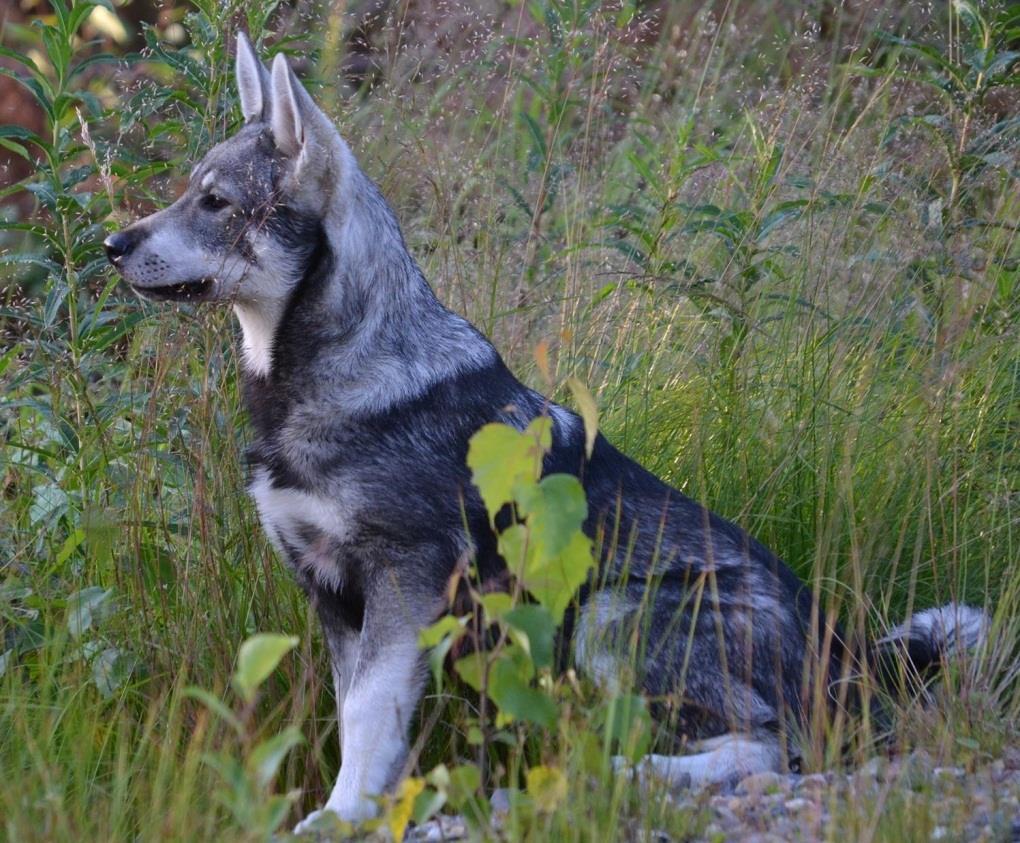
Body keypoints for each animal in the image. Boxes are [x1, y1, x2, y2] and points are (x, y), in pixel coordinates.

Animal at [105, 32, 987, 828]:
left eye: (216, 202)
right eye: (187, 191)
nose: (112, 244)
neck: (335, 370)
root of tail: (851, 658)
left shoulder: (403, 581)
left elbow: (366, 715)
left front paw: (343, 812)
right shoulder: (337, 600)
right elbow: (367, 722)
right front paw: (367, 805)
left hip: (612, 614)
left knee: (769, 745)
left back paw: (634, 773)